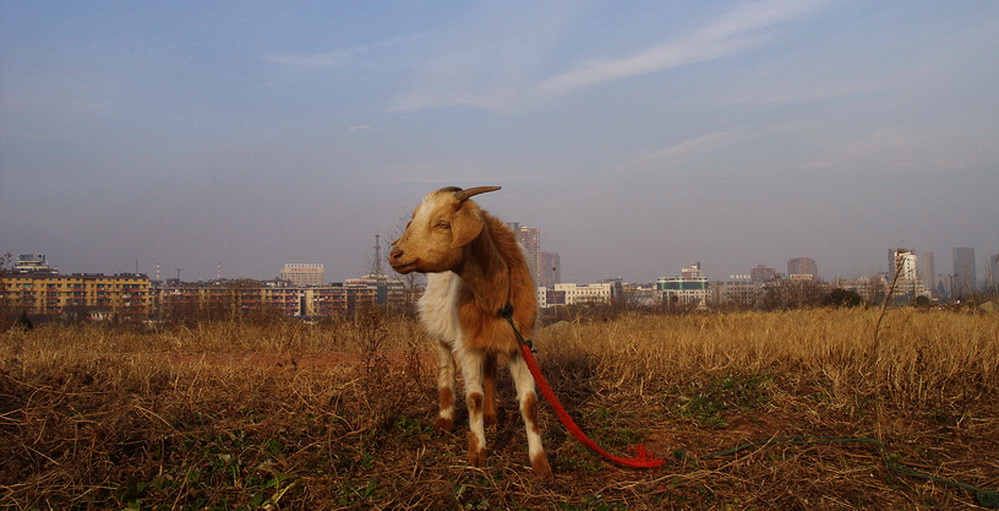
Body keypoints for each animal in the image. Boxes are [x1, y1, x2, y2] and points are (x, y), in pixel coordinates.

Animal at [388, 186, 552, 478]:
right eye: (413, 221)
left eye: (443, 224)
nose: (395, 254)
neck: (496, 297)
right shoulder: (467, 345)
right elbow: (473, 398)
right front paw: (477, 454)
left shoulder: (519, 344)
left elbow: (529, 403)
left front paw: (540, 463)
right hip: (442, 334)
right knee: (446, 368)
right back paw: (445, 420)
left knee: (490, 371)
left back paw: (491, 416)